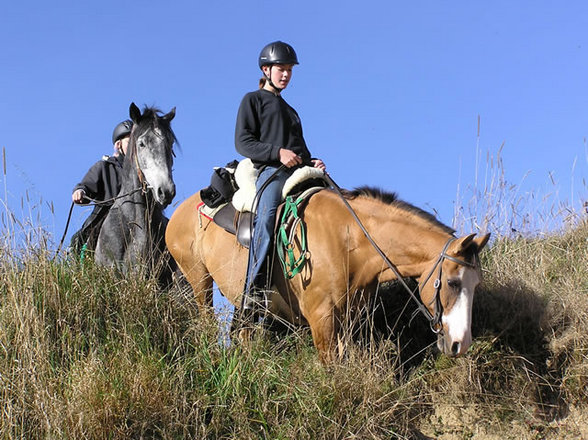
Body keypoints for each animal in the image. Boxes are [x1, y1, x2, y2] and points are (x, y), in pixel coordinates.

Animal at [167, 185, 492, 360]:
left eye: (476, 286)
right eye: (452, 282)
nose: (460, 343)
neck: (350, 240)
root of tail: (180, 210)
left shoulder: (347, 319)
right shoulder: (321, 318)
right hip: (199, 280)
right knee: (206, 321)